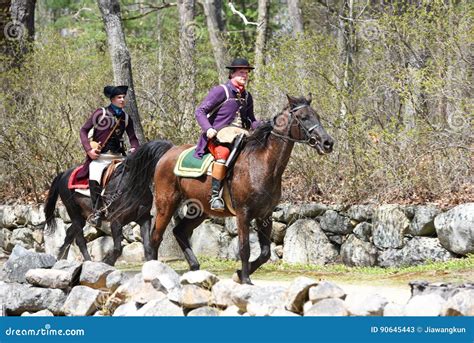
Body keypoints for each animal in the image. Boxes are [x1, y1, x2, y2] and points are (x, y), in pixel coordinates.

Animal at [43, 140, 173, 266]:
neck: (131, 184)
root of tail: (64, 174)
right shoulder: (116, 222)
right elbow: (117, 249)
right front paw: (107, 262)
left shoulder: (144, 219)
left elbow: (148, 247)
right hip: (74, 213)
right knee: (80, 240)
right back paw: (88, 261)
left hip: (81, 217)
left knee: (70, 233)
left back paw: (61, 258)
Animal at [118, 94, 334, 284]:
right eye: (303, 117)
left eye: (317, 116)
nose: (328, 143)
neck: (263, 164)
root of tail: (169, 151)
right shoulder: (243, 214)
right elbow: (244, 248)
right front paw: (245, 279)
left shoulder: (264, 215)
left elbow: (265, 253)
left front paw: (239, 274)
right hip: (167, 204)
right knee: (155, 238)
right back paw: (155, 270)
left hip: (200, 210)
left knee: (179, 231)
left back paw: (195, 267)